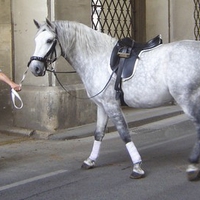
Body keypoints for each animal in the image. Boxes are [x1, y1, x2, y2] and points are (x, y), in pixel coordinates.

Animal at [27, 19, 200, 181]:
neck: (97, 58)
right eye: (35, 40)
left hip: (186, 99)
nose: (35, 68)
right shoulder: (102, 105)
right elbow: (98, 133)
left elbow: (124, 134)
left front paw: (137, 167)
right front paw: (90, 160)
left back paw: (192, 166)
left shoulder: (111, 105)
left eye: (49, 40)